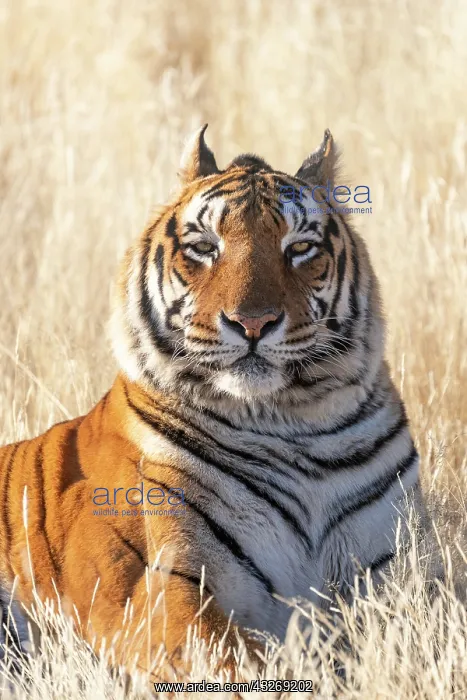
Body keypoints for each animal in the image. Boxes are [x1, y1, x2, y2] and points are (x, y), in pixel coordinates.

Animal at [0, 125, 429, 678]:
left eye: (300, 248)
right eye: (205, 247)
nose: (253, 322)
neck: (291, 425)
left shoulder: (403, 575)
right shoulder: (159, 589)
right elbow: (239, 659)